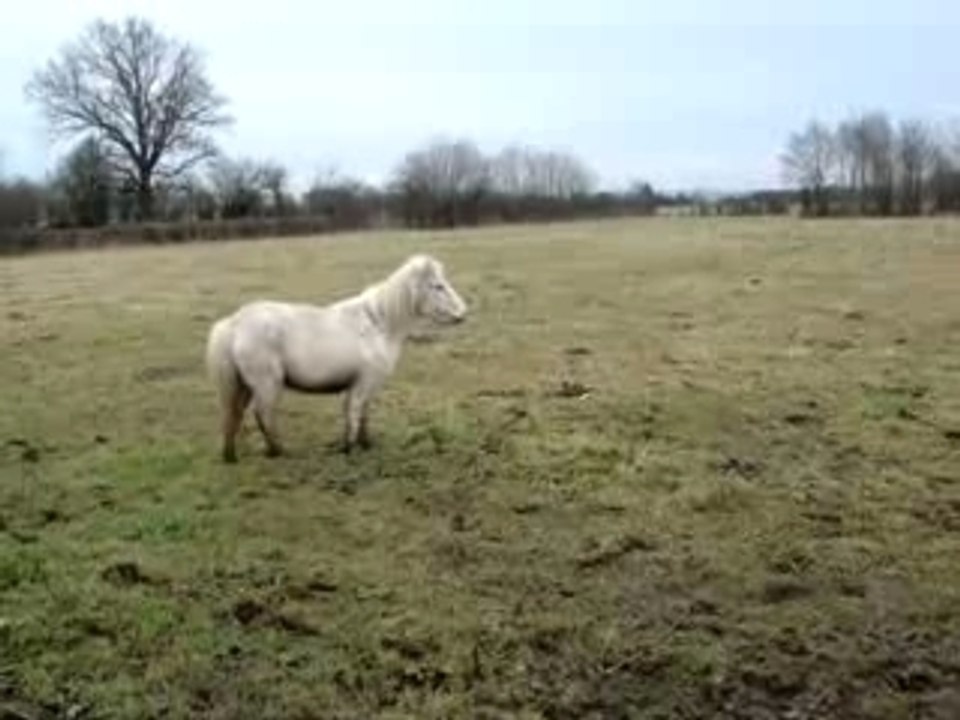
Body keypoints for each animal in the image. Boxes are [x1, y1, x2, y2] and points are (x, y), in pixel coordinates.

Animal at [204, 253, 468, 463]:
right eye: (438, 286)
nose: (463, 314)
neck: (378, 323)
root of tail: (234, 323)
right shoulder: (364, 383)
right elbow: (354, 412)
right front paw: (348, 448)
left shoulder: (366, 385)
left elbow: (363, 413)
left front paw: (365, 444)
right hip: (266, 385)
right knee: (263, 416)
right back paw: (278, 451)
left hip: (244, 386)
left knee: (235, 414)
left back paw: (232, 455)